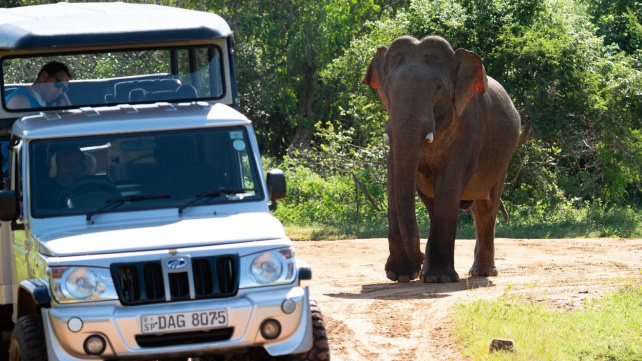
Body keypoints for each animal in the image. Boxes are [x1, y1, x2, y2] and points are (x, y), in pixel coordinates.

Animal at [360, 37, 520, 284]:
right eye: (389, 86)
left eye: (439, 88)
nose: (420, 257)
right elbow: (394, 178)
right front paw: (402, 275)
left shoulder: (467, 128)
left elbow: (448, 184)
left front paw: (439, 278)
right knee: (445, 206)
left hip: (504, 157)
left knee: (486, 208)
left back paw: (481, 273)